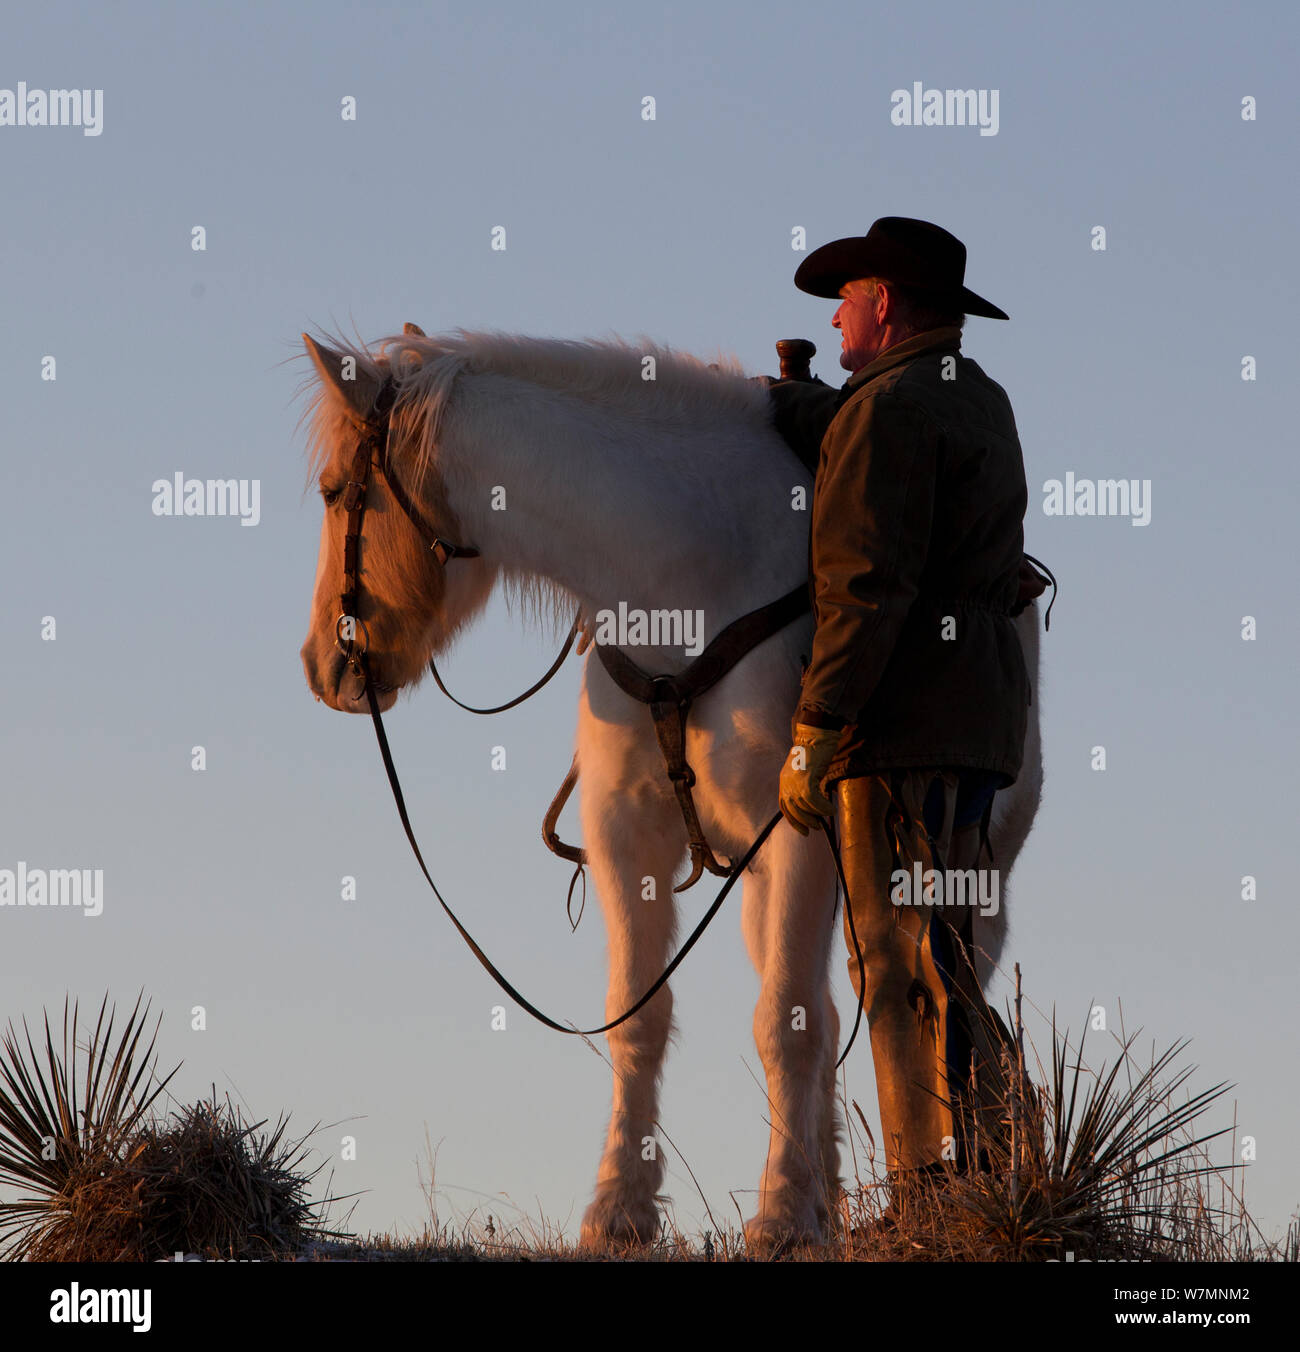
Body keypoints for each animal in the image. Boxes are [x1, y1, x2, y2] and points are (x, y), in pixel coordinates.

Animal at [297, 326, 1043, 1250]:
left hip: (960, 872)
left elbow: (784, 1021)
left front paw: (784, 1218)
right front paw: (622, 1208)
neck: (687, 578)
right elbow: (640, 1016)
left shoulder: (797, 836)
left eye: (335, 491)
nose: (323, 666)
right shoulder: (628, 838)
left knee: (943, 1009)